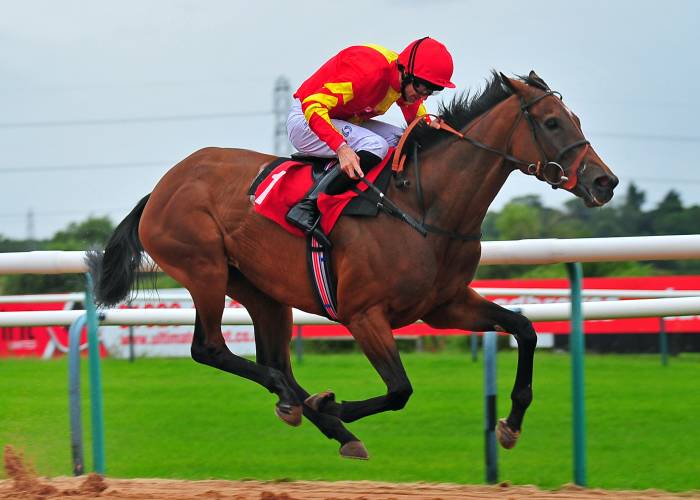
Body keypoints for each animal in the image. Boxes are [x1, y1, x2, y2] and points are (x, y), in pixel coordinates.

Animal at [89, 72, 616, 458]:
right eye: (551, 122)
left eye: (574, 118)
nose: (604, 181)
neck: (424, 207)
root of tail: (162, 187)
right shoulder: (364, 315)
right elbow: (400, 389)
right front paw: (335, 406)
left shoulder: (445, 305)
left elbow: (524, 329)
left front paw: (509, 424)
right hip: (204, 269)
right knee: (211, 349)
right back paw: (307, 405)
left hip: (262, 291)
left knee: (272, 358)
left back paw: (309, 411)